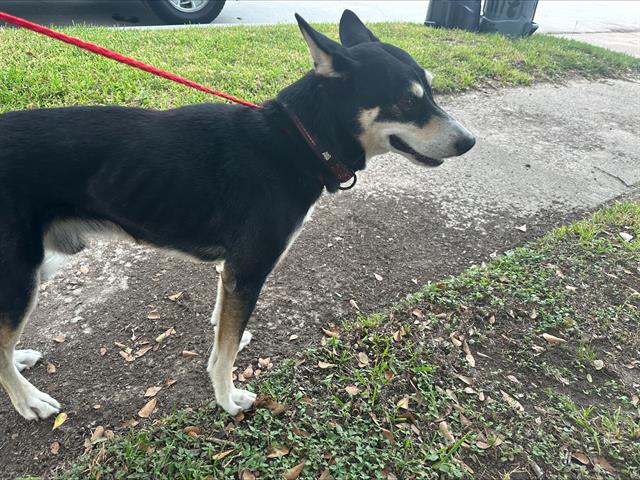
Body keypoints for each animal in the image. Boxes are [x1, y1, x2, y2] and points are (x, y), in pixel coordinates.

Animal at [1, 9, 476, 418]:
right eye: (405, 103)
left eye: (431, 92)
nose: (469, 141)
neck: (297, 141)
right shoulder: (248, 270)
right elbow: (223, 353)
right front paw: (227, 397)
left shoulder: (232, 271)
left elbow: (222, 329)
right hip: (22, 276)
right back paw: (29, 401)